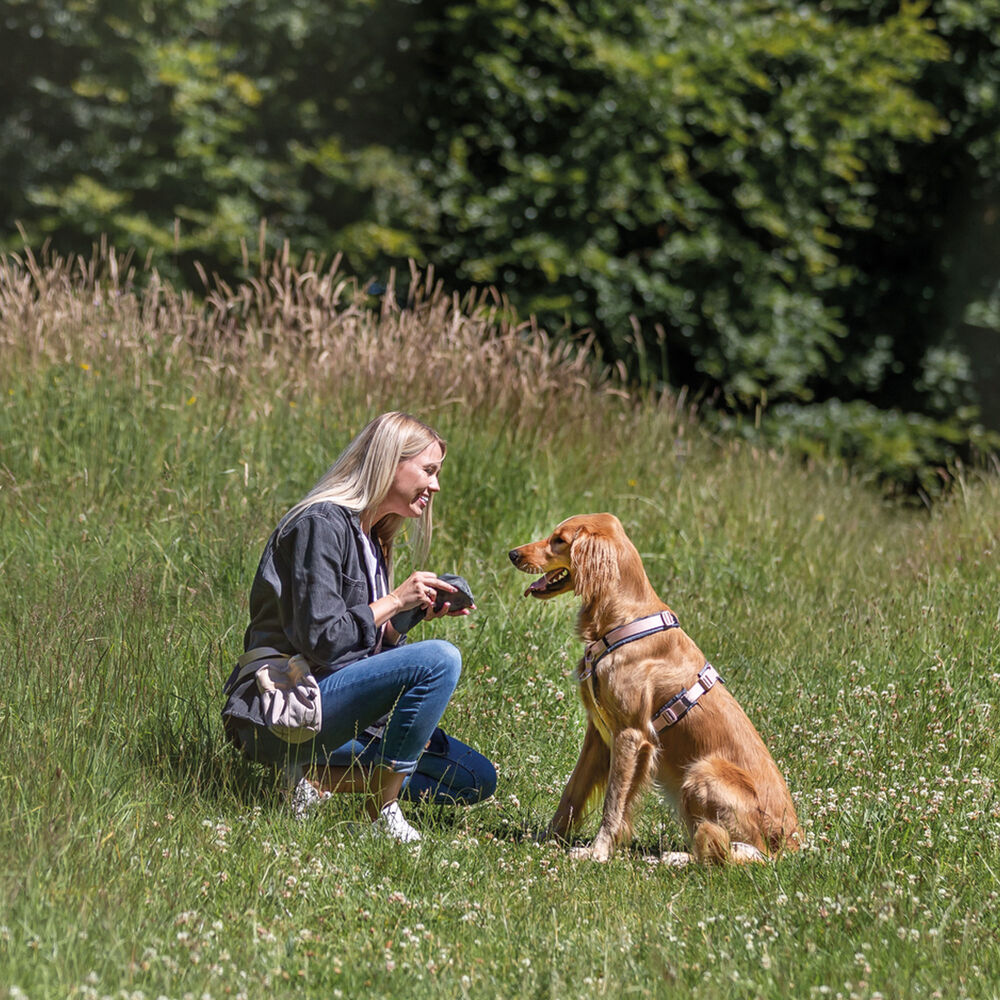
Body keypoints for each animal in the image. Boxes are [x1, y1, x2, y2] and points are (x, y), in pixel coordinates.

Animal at [512, 512, 800, 864]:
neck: (620, 622)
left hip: (702, 773)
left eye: (559, 540)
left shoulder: (631, 735)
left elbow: (612, 804)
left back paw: (675, 858)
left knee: (732, 854)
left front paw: (598, 852)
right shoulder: (598, 734)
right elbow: (572, 792)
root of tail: (792, 842)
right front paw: (547, 838)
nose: (513, 554)